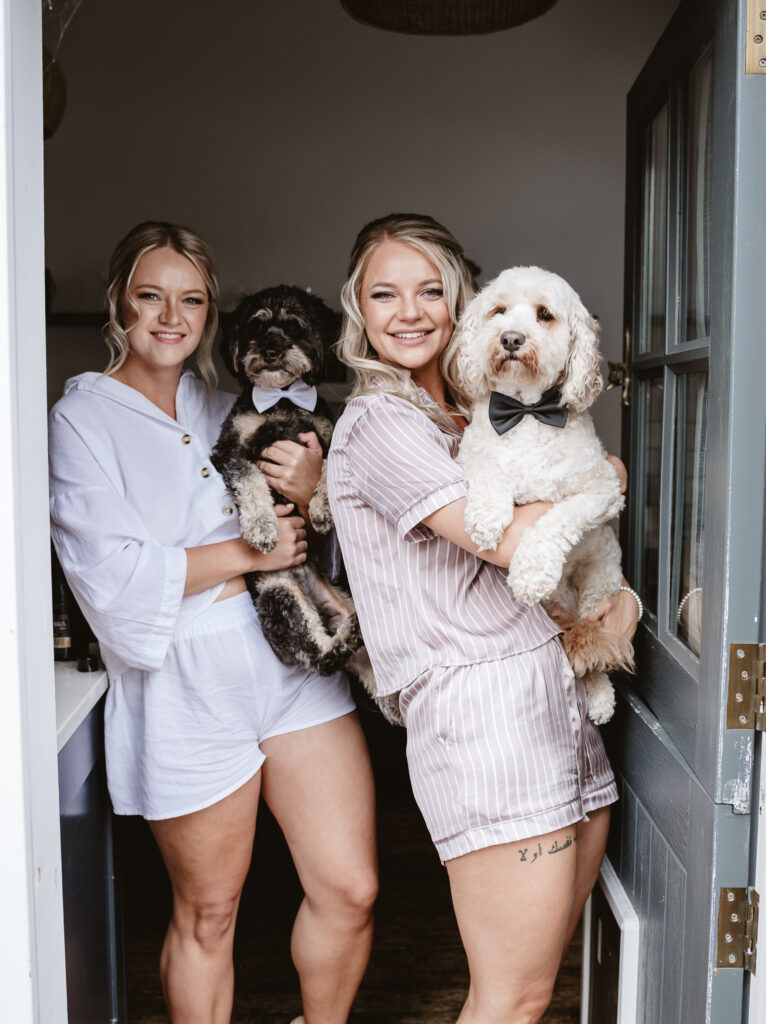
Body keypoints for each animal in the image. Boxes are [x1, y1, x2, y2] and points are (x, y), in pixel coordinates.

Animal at [454, 268, 634, 724]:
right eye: (498, 310)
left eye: (545, 315)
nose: (511, 338)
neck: (527, 413)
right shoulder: (472, 452)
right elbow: (487, 470)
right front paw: (486, 517)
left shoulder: (604, 489)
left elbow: (554, 520)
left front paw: (531, 574)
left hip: (600, 580)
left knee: (591, 640)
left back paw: (600, 696)